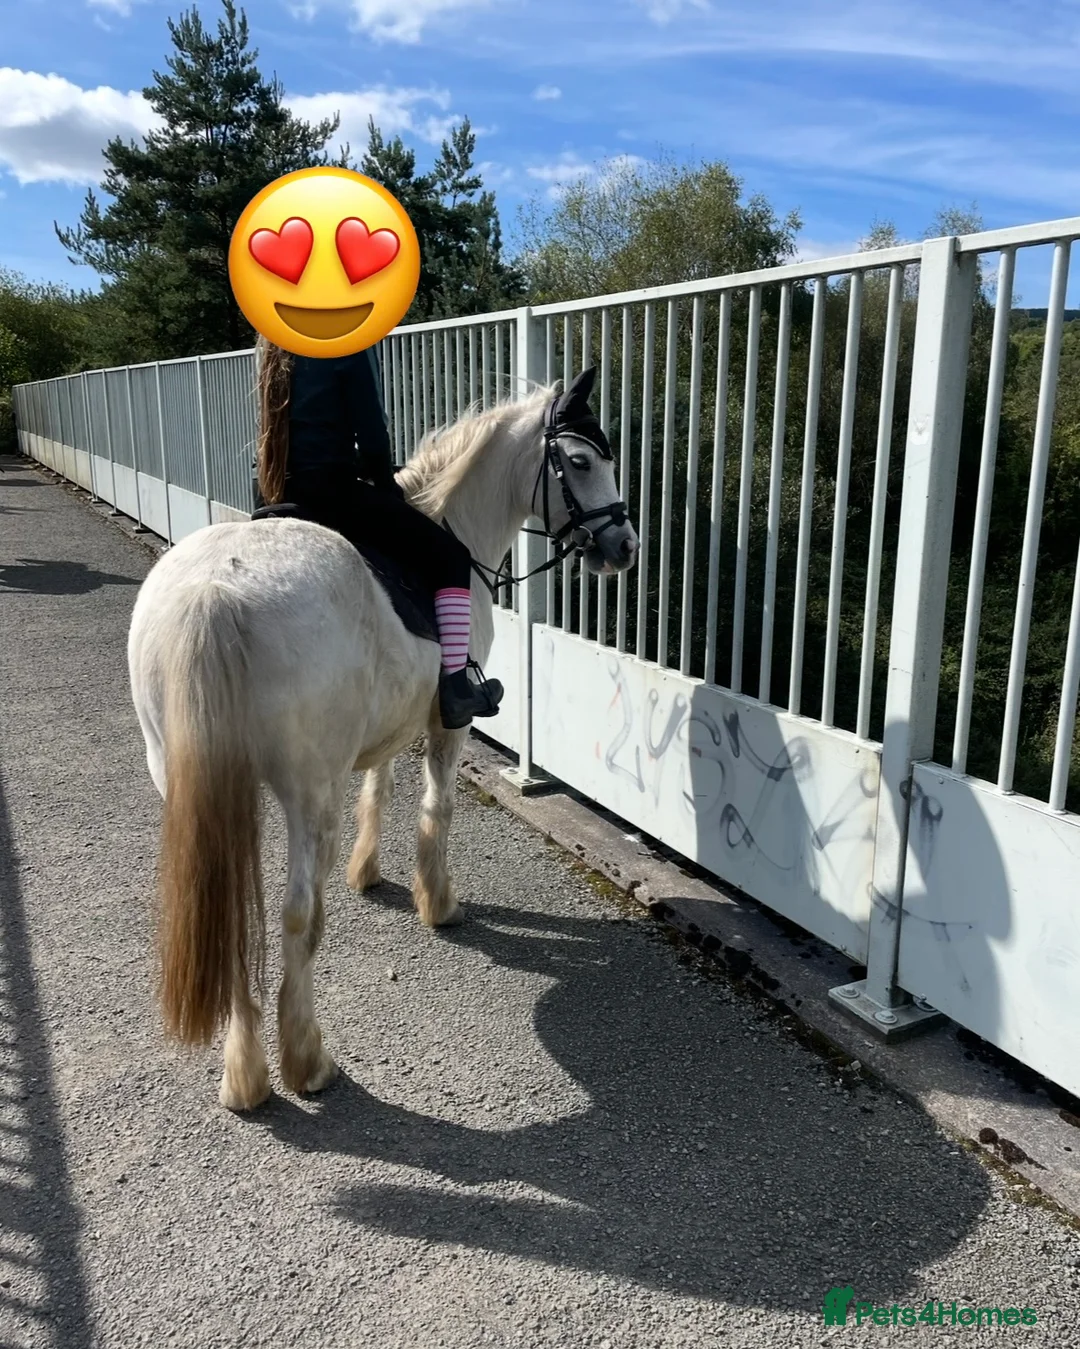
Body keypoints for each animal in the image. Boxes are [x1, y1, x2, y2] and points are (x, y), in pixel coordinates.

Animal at [126, 368, 639, 1111]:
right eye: (578, 460)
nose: (623, 547)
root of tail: (215, 590)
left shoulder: (387, 726)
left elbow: (382, 786)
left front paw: (367, 871)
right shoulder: (448, 721)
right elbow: (436, 807)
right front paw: (438, 902)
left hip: (194, 781)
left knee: (236, 915)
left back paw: (243, 1076)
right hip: (309, 795)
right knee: (297, 916)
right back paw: (306, 1061)